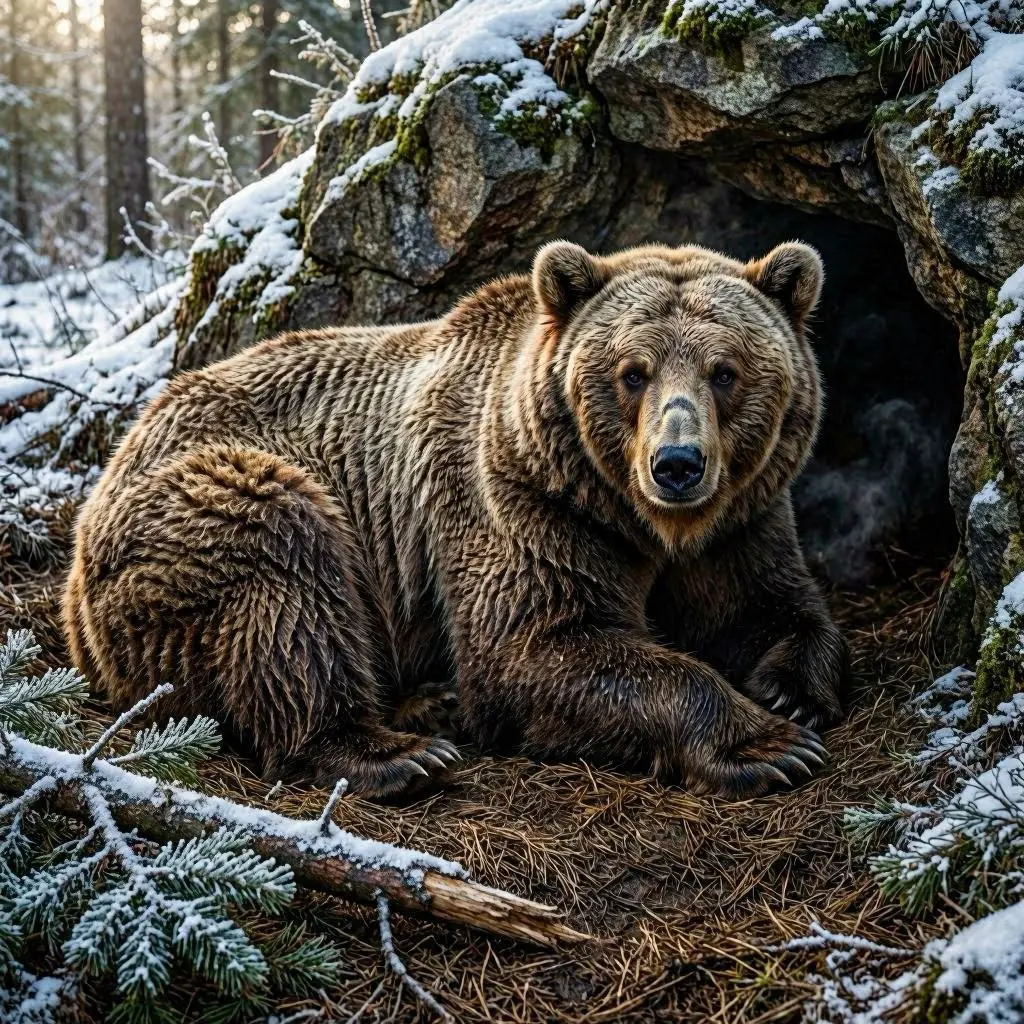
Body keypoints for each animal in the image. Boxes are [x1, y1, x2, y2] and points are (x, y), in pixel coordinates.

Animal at [64, 240, 848, 799]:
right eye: (634, 372)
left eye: (725, 371)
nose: (677, 463)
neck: (634, 520)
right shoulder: (522, 505)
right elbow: (532, 647)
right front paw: (769, 745)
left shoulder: (738, 522)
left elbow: (774, 604)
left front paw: (789, 688)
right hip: (193, 512)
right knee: (284, 579)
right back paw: (396, 753)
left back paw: (427, 707)